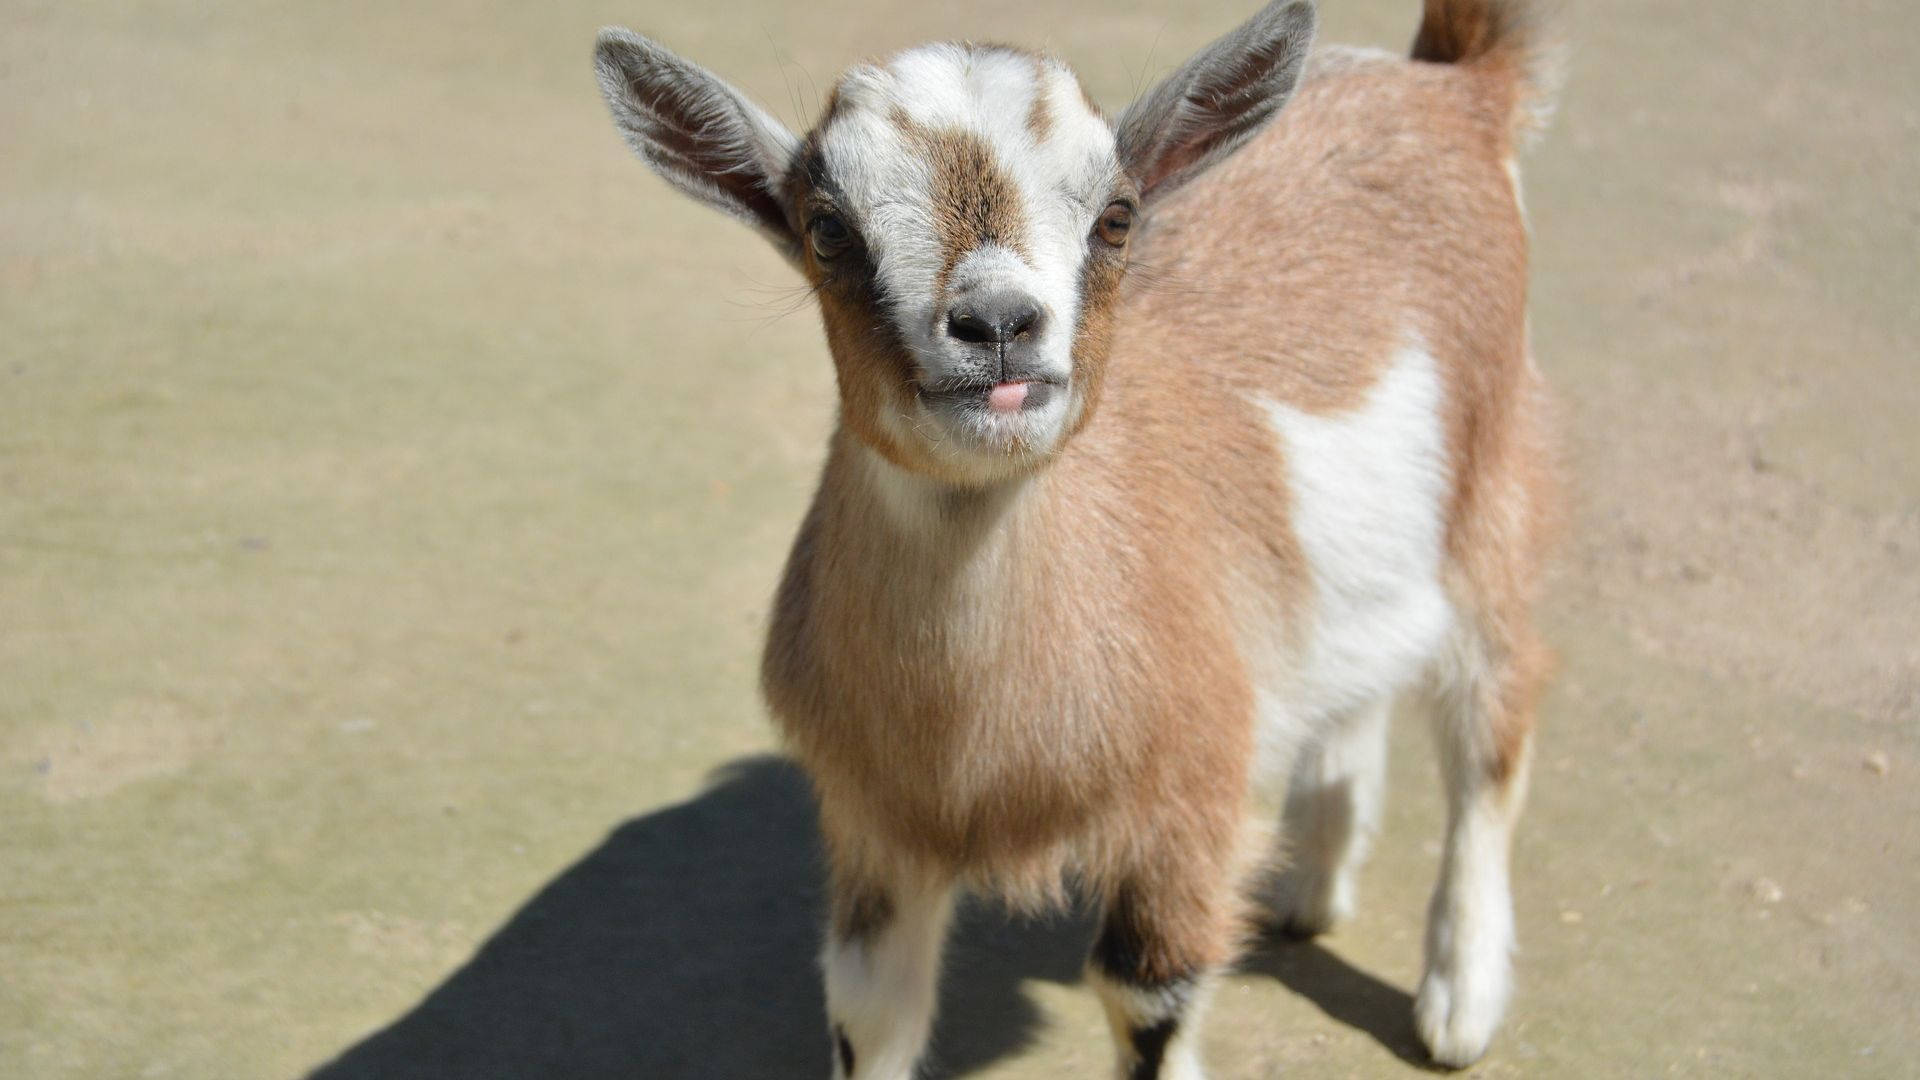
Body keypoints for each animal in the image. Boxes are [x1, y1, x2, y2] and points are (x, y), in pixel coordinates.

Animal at [594, 0, 1559, 1075]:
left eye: (1118, 215)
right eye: (828, 229)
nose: (997, 326)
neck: (978, 750)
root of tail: (1452, 87)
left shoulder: (1184, 806)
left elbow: (1144, 992)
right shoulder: (874, 824)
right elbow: (869, 1007)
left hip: (1496, 493)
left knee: (1493, 716)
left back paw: (1458, 1001)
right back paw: (1312, 884)